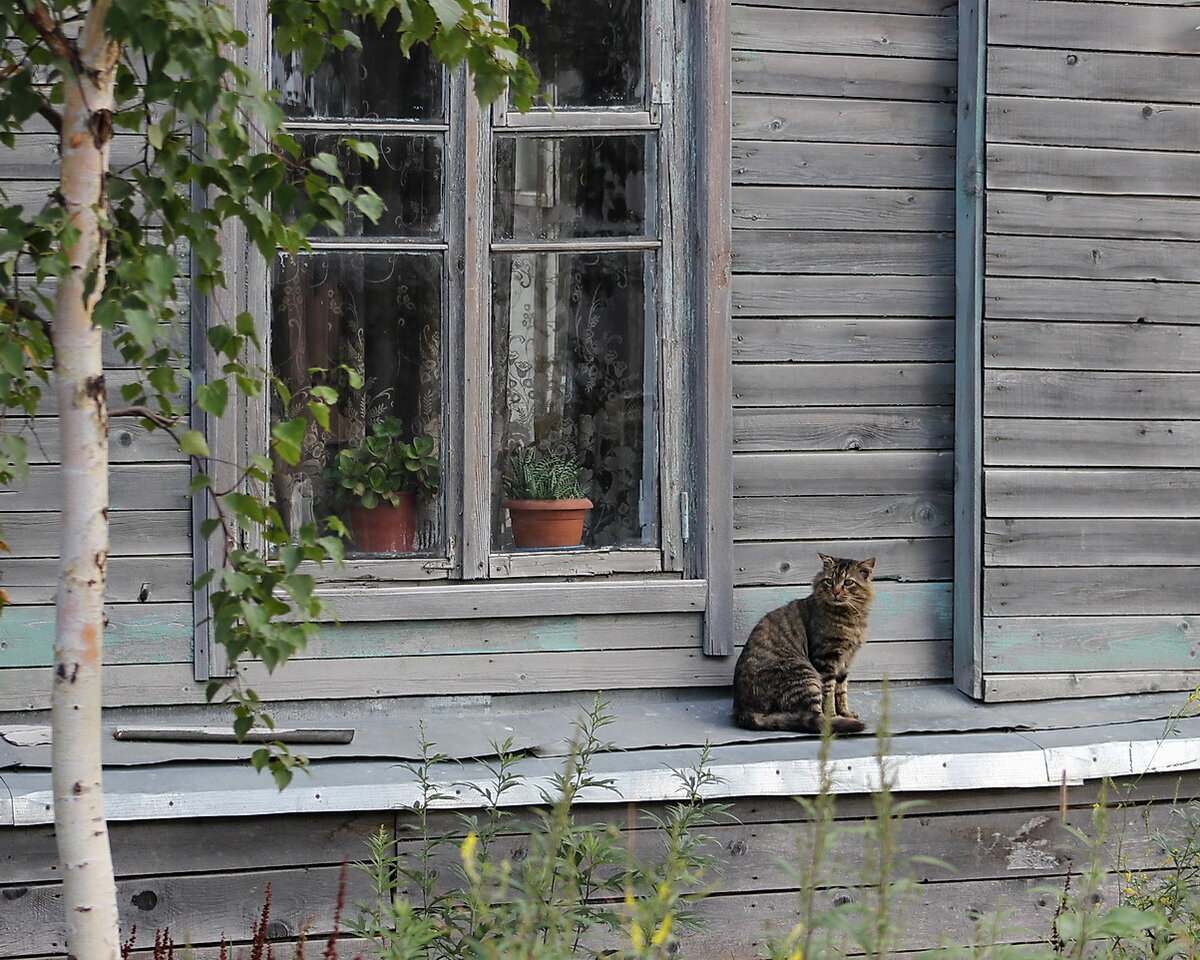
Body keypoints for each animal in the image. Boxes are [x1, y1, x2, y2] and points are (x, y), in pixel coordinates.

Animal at [724, 554, 878, 734]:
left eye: (848, 582)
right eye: (829, 581)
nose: (835, 592)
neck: (850, 617)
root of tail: (745, 711)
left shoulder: (845, 661)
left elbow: (841, 692)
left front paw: (845, 712)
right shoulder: (826, 658)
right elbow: (830, 694)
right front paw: (835, 716)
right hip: (805, 675)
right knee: (815, 716)